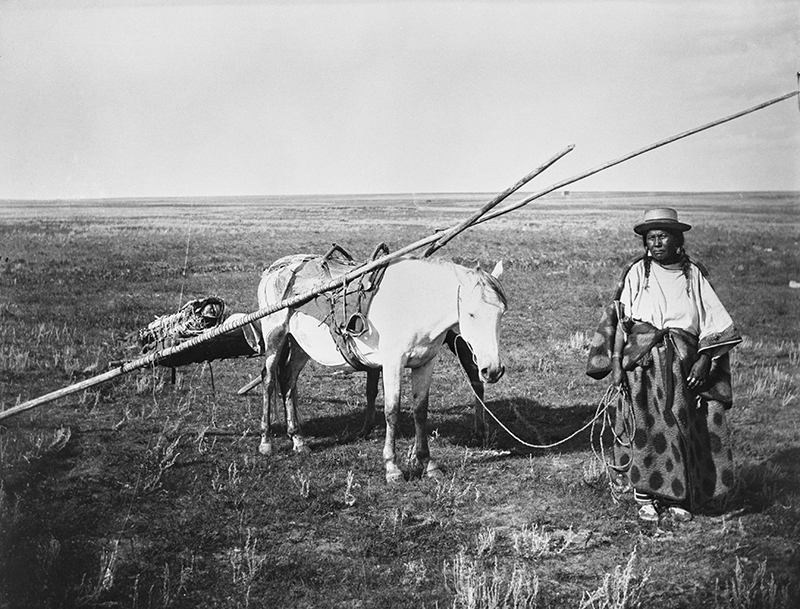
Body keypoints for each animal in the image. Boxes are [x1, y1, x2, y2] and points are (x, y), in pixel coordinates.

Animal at [255, 255, 507, 482]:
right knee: (269, 381)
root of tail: (275, 269)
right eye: (471, 314)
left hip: (300, 345)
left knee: (288, 380)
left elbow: (420, 411)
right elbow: (391, 411)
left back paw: (298, 439)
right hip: (275, 336)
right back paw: (266, 442)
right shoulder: (392, 363)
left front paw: (428, 463)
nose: (493, 370)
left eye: (501, 313)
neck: (416, 302)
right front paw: (392, 468)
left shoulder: (425, 363)